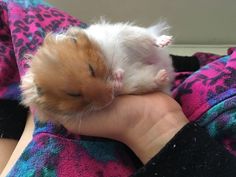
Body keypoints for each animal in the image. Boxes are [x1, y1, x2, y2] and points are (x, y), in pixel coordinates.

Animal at [21, 20, 174, 123]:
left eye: (91, 69)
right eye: (74, 95)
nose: (108, 100)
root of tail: (166, 63)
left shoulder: (111, 44)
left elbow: (117, 62)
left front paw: (117, 74)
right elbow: (118, 83)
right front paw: (117, 80)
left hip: (132, 34)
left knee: (149, 37)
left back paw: (165, 42)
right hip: (139, 81)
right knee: (153, 81)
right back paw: (162, 74)